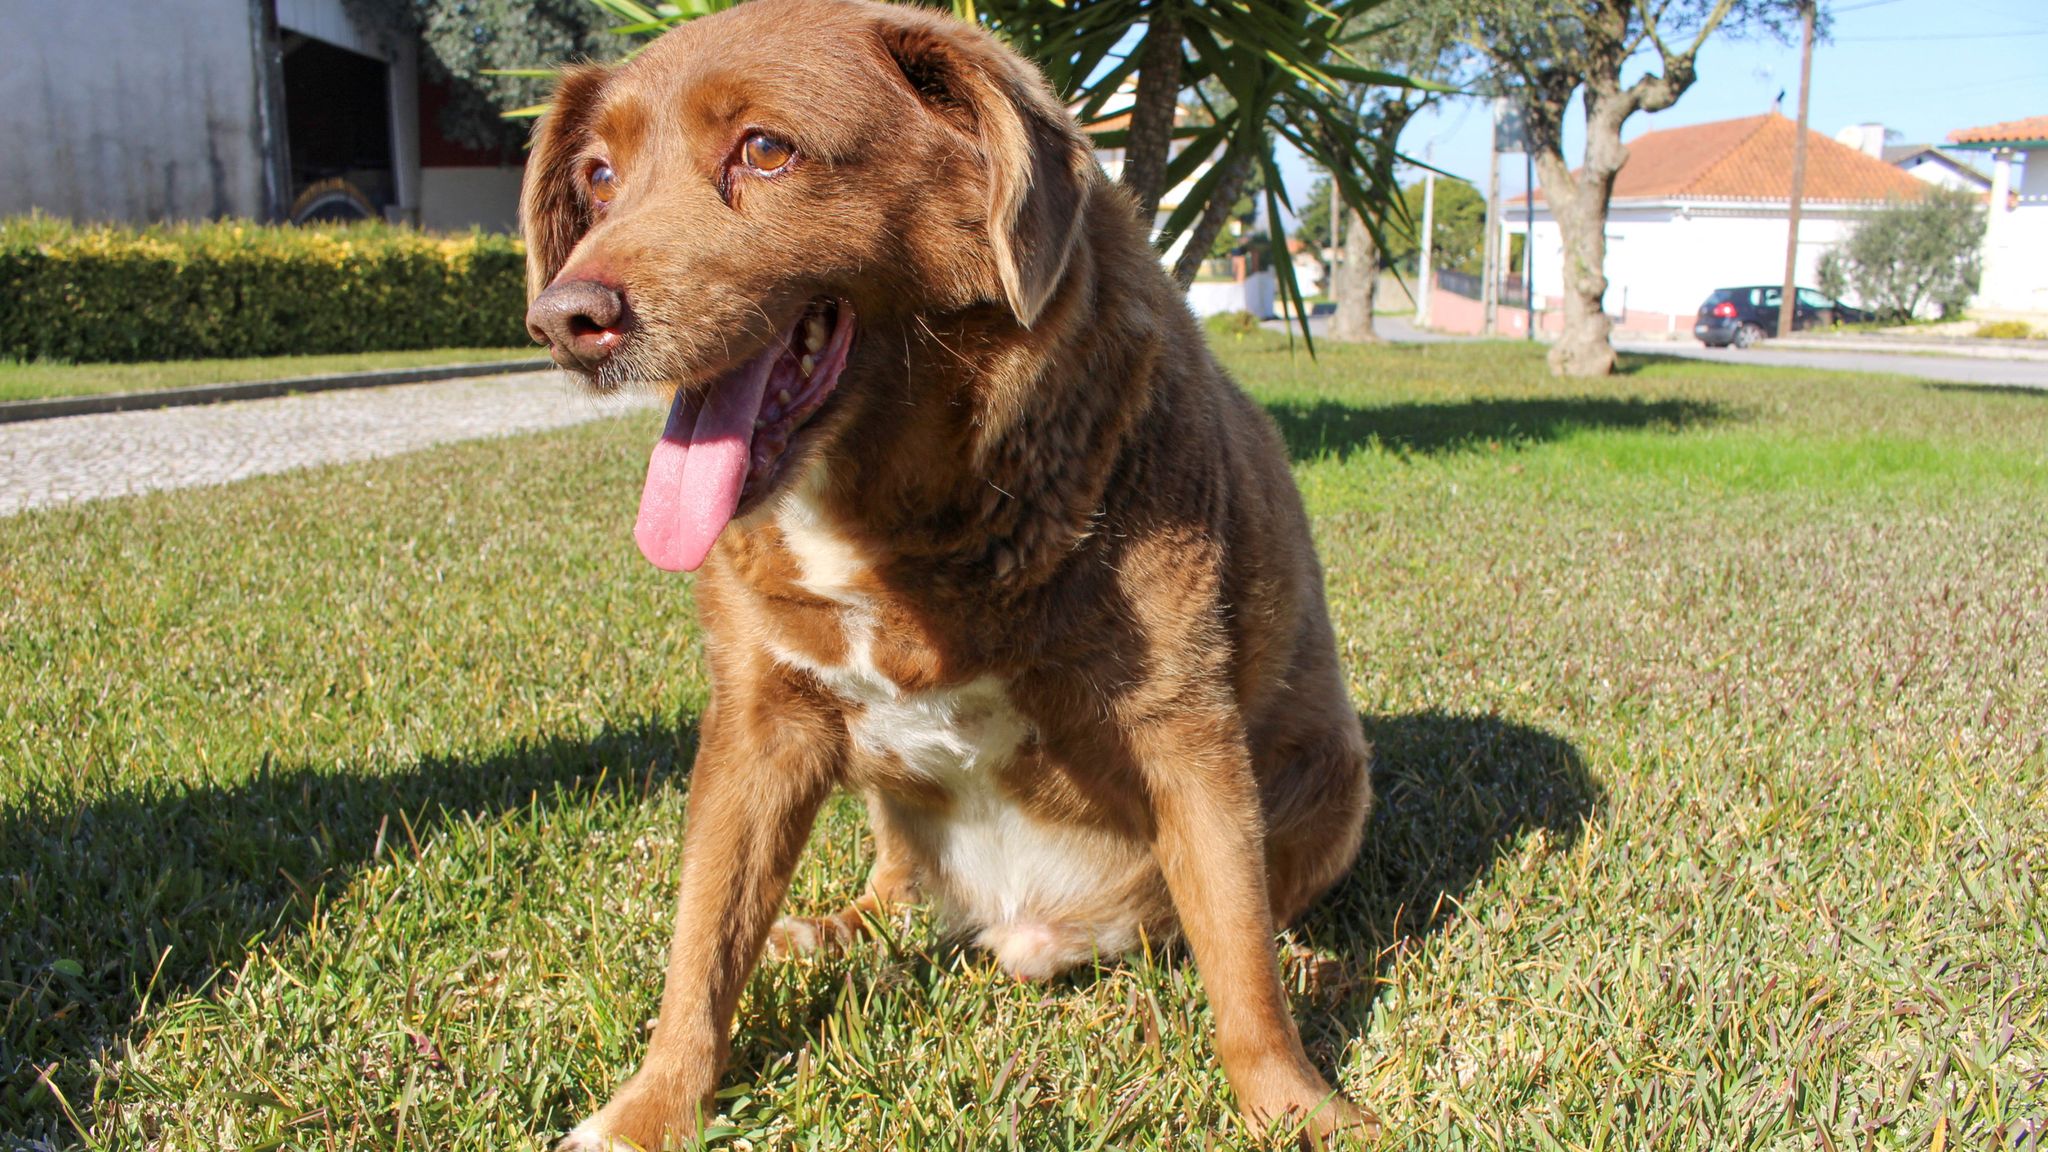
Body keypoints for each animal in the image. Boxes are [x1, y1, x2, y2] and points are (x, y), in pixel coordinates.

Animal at [520, 2, 1376, 1139]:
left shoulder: (1183, 723)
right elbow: (700, 947)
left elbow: (1238, 964)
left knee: (1226, 918)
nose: (566, 320)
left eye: (765, 149)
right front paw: (649, 1111)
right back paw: (821, 930)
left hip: (1334, 780)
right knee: (886, 898)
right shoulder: (757, 723)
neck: (893, 516)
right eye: (602, 176)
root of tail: (1016, 917)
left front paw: (1297, 1107)